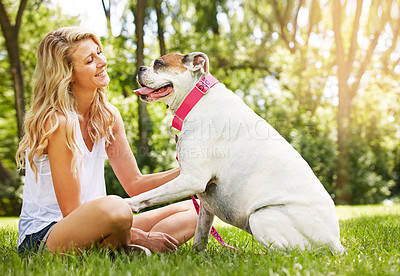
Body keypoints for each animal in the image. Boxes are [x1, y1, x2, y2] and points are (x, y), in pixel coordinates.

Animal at [127, 51, 344, 252]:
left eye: (159, 64)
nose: (140, 68)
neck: (198, 98)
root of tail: (335, 242)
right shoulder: (205, 203)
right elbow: (201, 234)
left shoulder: (191, 179)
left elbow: (147, 195)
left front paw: (126, 205)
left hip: (261, 217)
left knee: (286, 253)